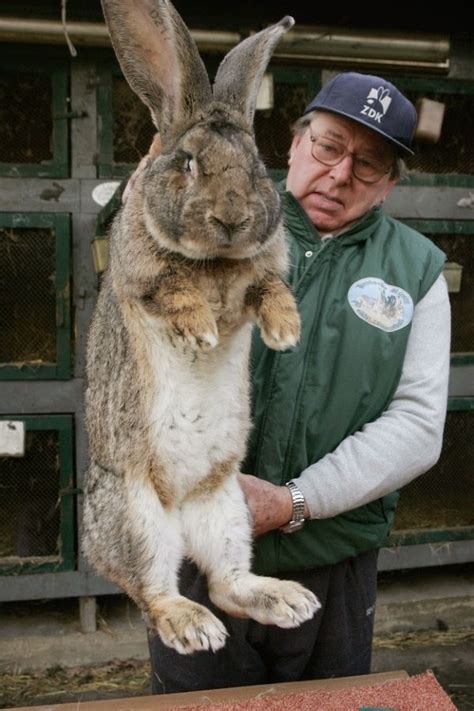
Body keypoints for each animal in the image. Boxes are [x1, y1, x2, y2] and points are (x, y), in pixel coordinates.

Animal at [83, 0, 320, 656]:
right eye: (187, 163)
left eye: (259, 166)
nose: (233, 217)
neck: (216, 260)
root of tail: (183, 506)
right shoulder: (143, 277)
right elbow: (173, 293)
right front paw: (200, 332)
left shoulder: (258, 277)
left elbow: (269, 290)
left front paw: (284, 332)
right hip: (138, 514)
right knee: (154, 591)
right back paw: (192, 626)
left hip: (228, 509)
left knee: (225, 583)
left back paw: (286, 600)